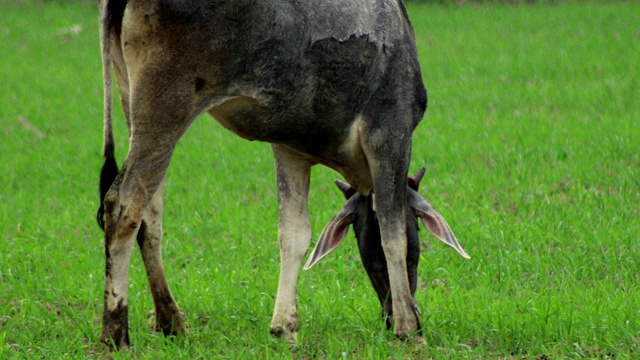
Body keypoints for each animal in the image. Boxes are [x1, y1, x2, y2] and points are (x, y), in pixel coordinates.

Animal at [97, 0, 470, 350]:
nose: (389, 315)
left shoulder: (289, 149)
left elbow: (294, 234)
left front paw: (284, 328)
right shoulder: (391, 133)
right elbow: (393, 234)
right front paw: (411, 330)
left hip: (131, 100)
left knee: (150, 216)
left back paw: (170, 321)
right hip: (165, 105)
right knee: (122, 205)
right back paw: (116, 332)